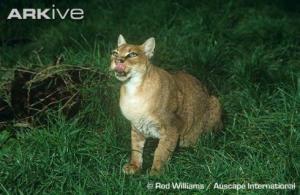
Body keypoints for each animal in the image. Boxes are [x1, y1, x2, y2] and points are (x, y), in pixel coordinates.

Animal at [110, 34, 223, 176]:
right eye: (115, 53)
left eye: (132, 54)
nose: (118, 60)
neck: (133, 88)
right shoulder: (136, 126)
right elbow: (135, 148)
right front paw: (134, 166)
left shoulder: (171, 127)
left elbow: (162, 151)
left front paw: (155, 173)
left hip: (215, 101)